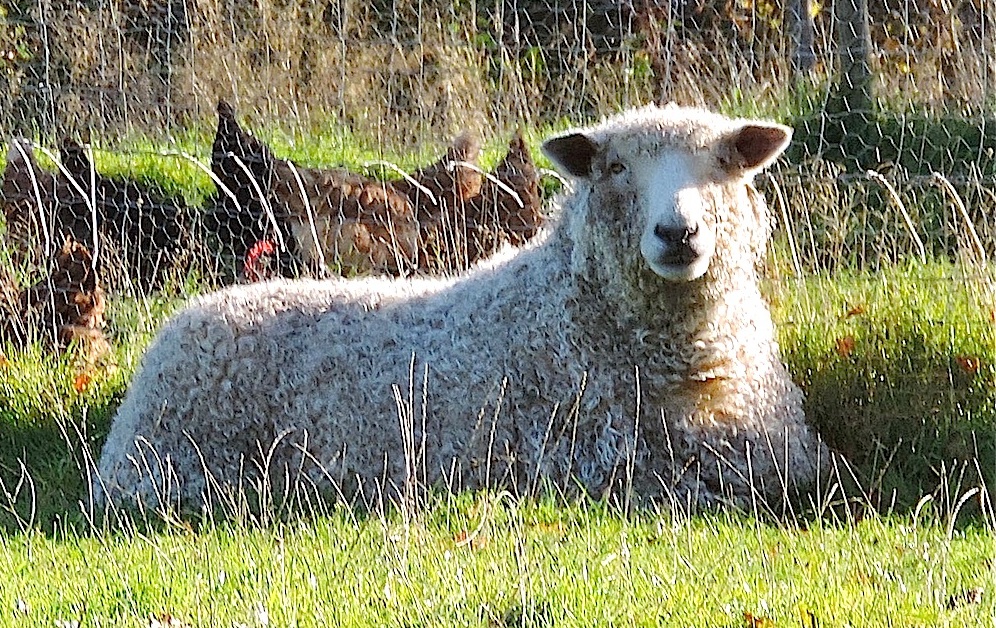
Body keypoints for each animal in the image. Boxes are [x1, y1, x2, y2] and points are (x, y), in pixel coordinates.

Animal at [94, 104, 829, 513]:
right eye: (616, 168)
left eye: (725, 162)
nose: (677, 233)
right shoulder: (607, 468)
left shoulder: (783, 454)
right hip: (177, 469)